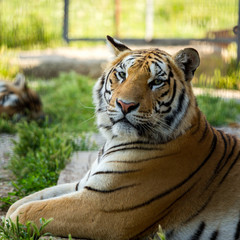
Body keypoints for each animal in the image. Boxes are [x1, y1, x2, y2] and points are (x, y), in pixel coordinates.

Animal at [5, 36, 240, 240]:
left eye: (156, 82)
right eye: (122, 75)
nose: (125, 105)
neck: (114, 139)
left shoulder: (103, 206)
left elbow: (28, 211)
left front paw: (10, 224)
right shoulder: (85, 185)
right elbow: (24, 202)